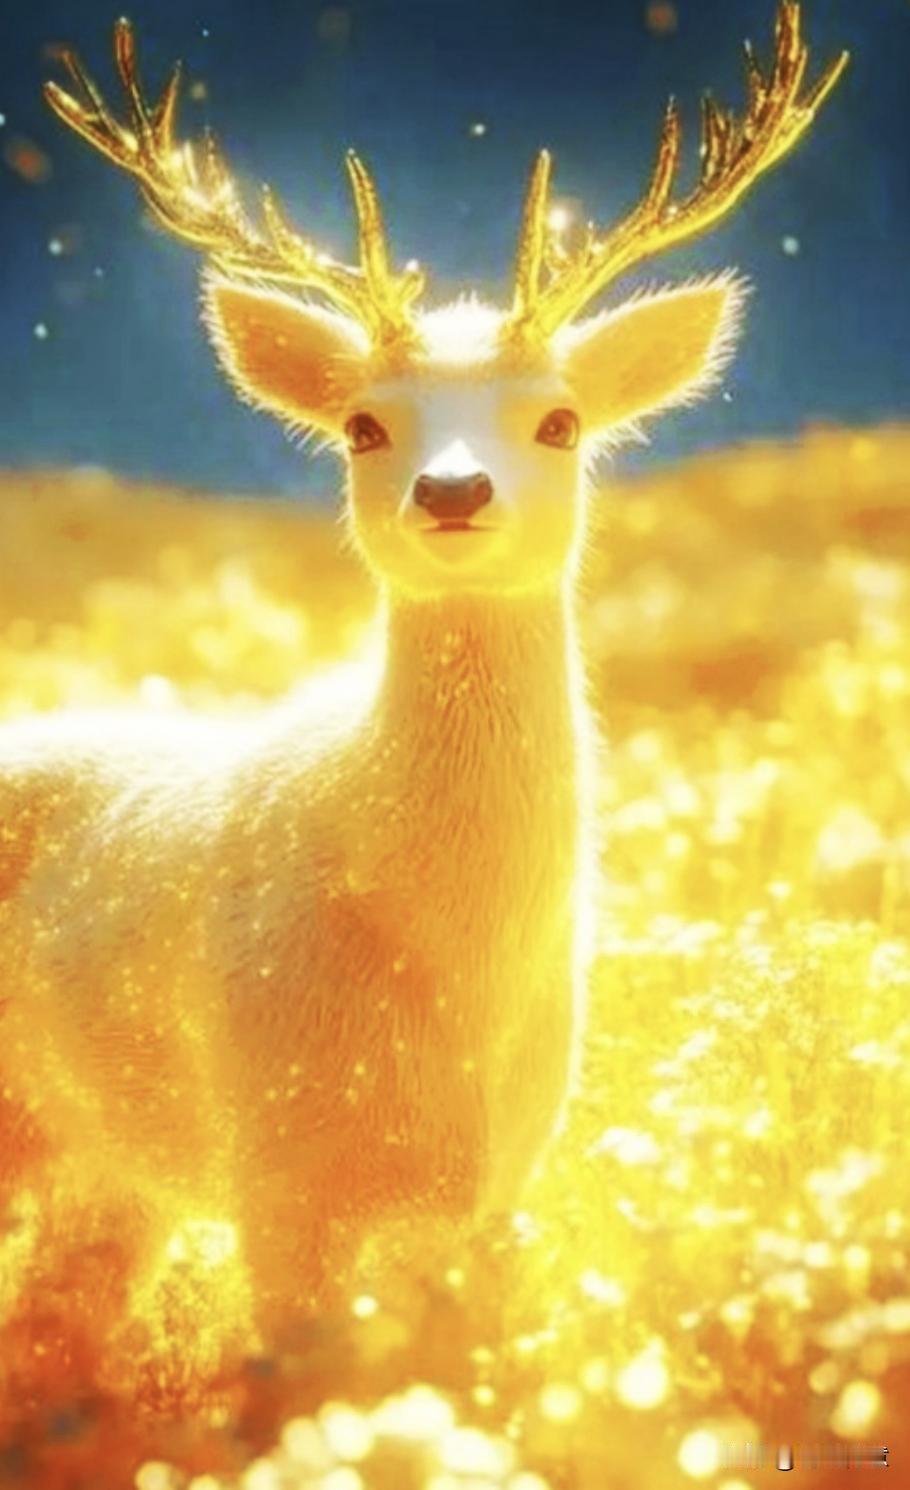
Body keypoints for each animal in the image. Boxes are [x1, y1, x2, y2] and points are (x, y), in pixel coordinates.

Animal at [0, 3, 845, 1361]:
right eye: (362, 424)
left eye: (559, 420)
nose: (453, 490)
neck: (454, 962)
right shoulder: (280, 1166)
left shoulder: (498, 1186)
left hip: (105, 1165)